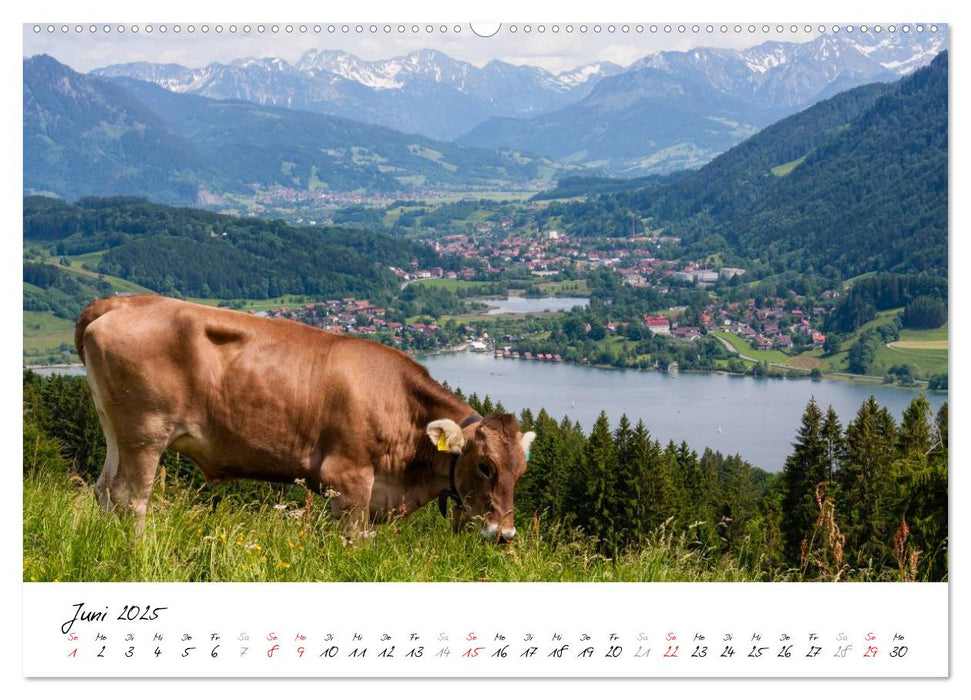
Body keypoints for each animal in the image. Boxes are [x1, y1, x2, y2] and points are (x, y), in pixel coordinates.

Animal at [72, 292, 536, 540]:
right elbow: (351, 542)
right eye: (484, 466)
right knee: (131, 498)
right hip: (145, 431)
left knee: (104, 490)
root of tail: (121, 302)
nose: (505, 535)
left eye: (521, 471)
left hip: (114, 428)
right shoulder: (346, 478)